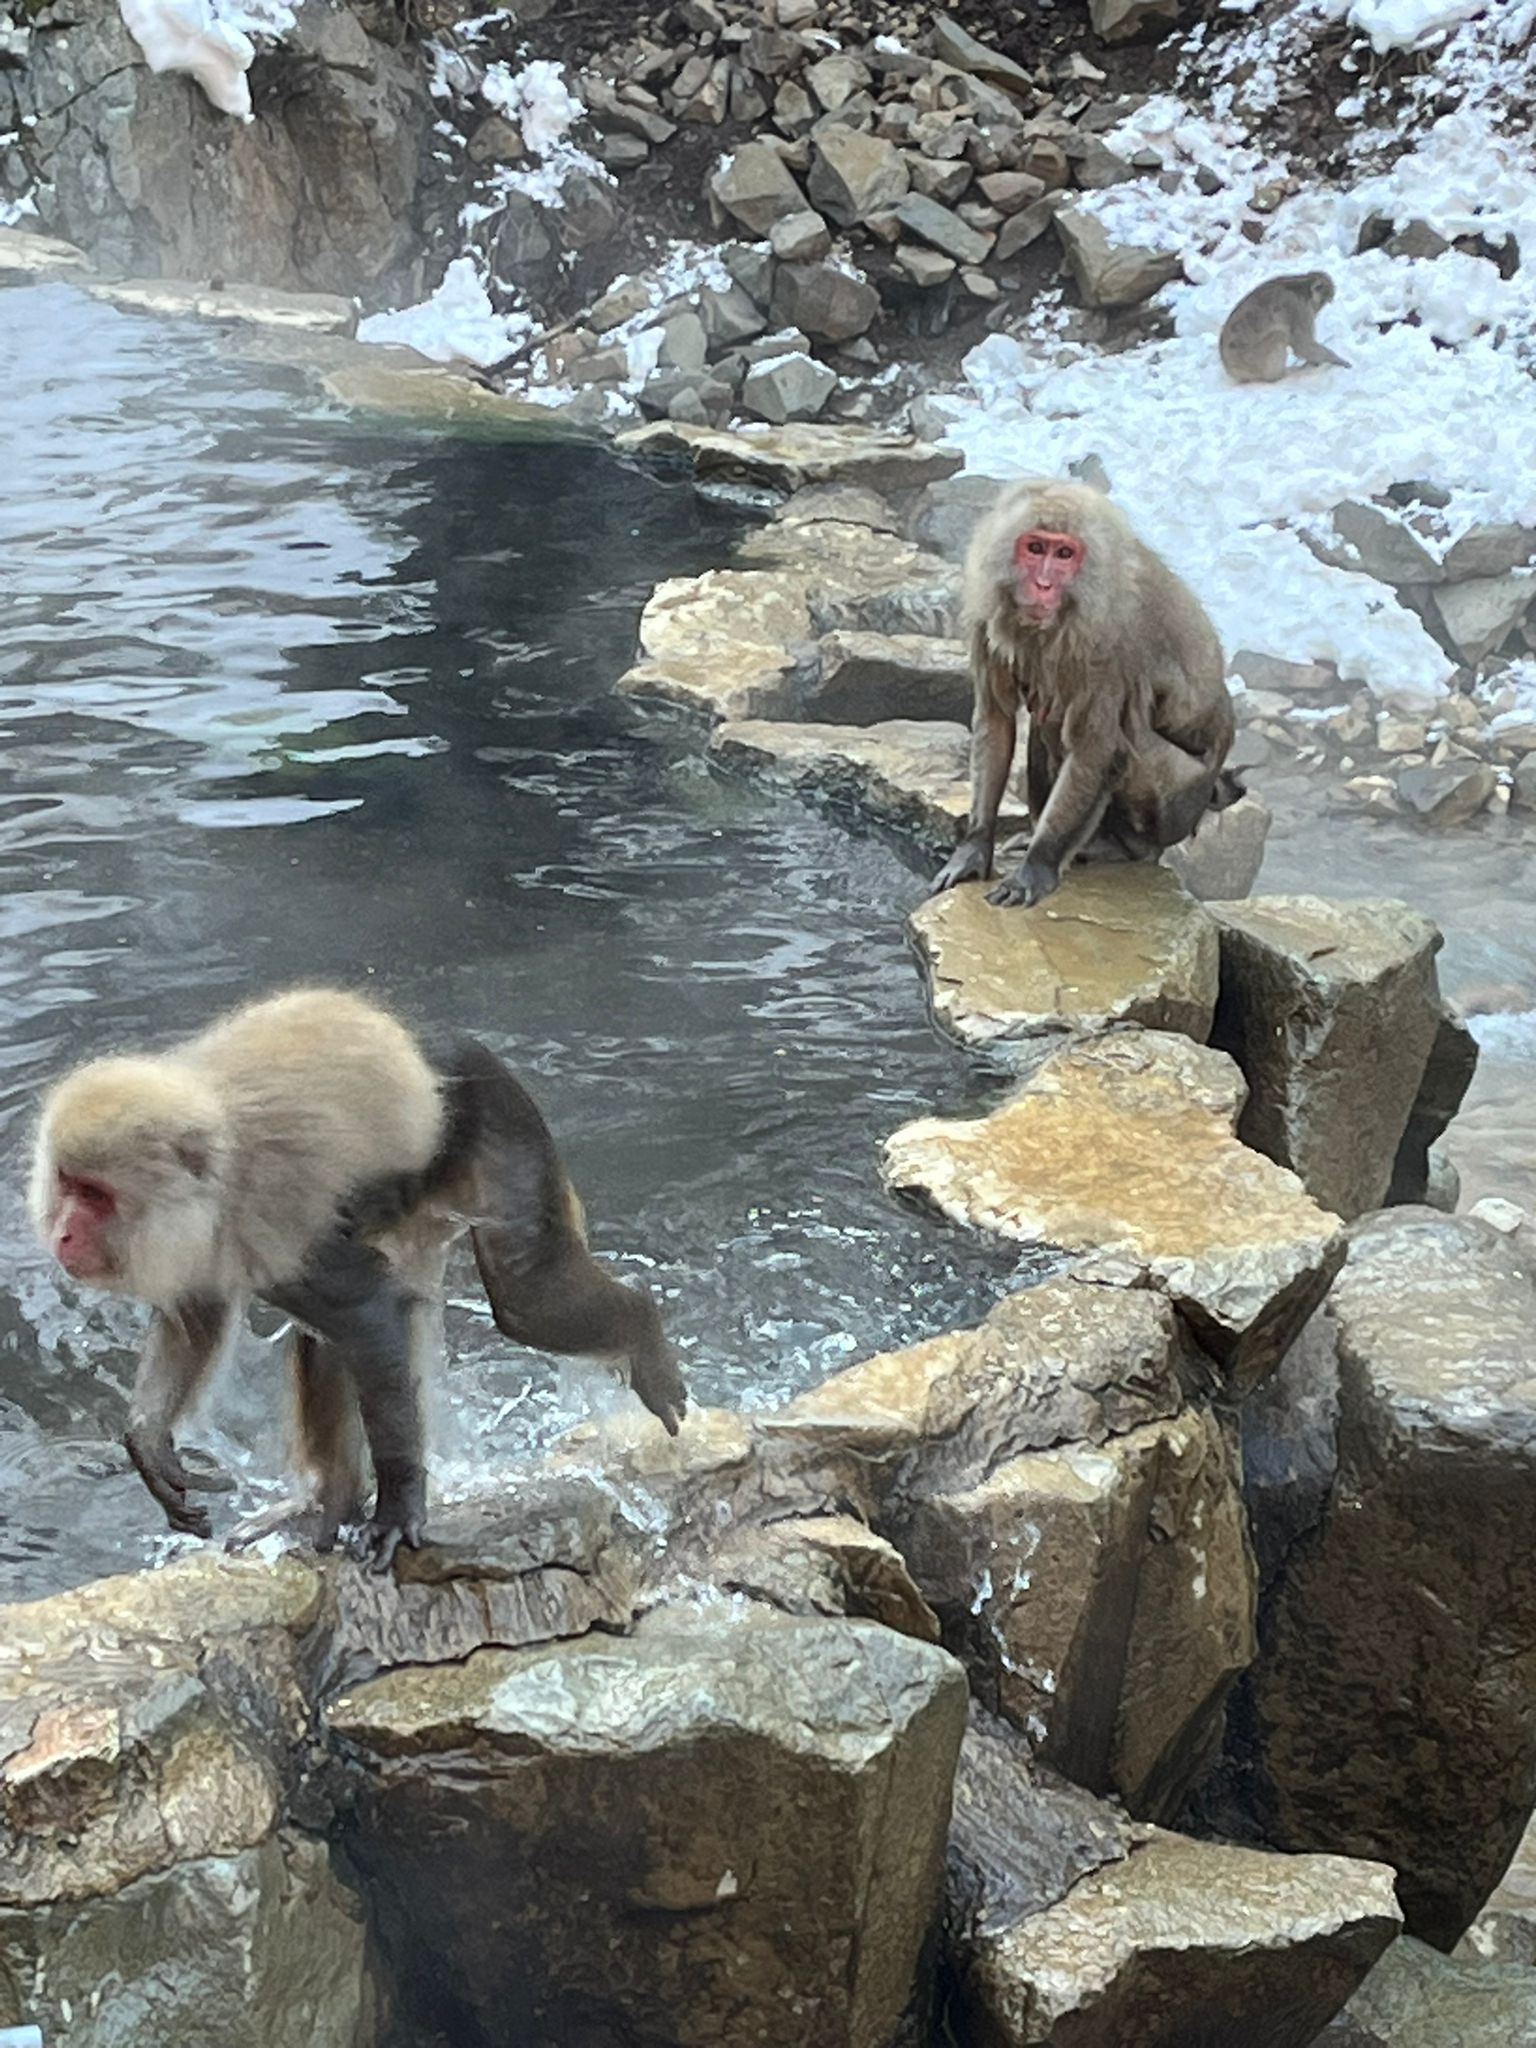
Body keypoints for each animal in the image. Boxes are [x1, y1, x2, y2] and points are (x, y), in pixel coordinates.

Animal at [30, 989, 686, 1571]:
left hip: (498, 1121)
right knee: (326, 1335)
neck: (214, 1180)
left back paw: (641, 1326)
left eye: (95, 1195)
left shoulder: (275, 1217)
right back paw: (333, 1499)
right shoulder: (203, 1239)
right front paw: (146, 1440)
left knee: (523, 1301)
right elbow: (199, 1315)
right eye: (67, 1184)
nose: (62, 1233)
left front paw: (399, 1504)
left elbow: (372, 1319)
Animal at [931, 480, 1241, 910]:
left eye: (1065, 554)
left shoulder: (1113, 644)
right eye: (1035, 548)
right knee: (1046, 719)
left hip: (1181, 807)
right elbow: (996, 718)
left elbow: (1095, 748)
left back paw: (1126, 849)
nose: (1043, 586)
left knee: (1129, 742)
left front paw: (1037, 866)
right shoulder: (988, 612)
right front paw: (975, 848)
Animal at [1219, 272, 1350, 384]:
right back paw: (1283, 375)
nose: (1317, 311)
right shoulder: (1298, 308)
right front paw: (1338, 361)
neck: (1303, 287)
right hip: (1251, 360)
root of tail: (1228, 367)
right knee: (1279, 335)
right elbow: (1302, 345)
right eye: (1325, 300)